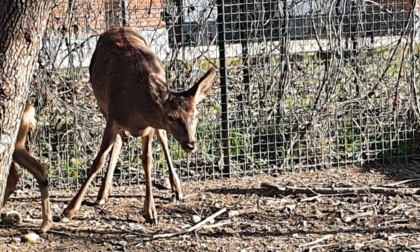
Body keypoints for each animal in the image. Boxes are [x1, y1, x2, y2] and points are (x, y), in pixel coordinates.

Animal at [63, 27, 217, 222]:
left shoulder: (149, 127)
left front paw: (150, 211)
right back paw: (103, 193)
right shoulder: (114, 118)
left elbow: (147, 160)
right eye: (171, 117)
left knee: (162, 138)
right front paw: (69, 209)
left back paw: (176, 188)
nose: (190, 144)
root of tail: (118, 28)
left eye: (196, 115)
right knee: (119, 141)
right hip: (102, 105)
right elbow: (98, 160)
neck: (136, 110)